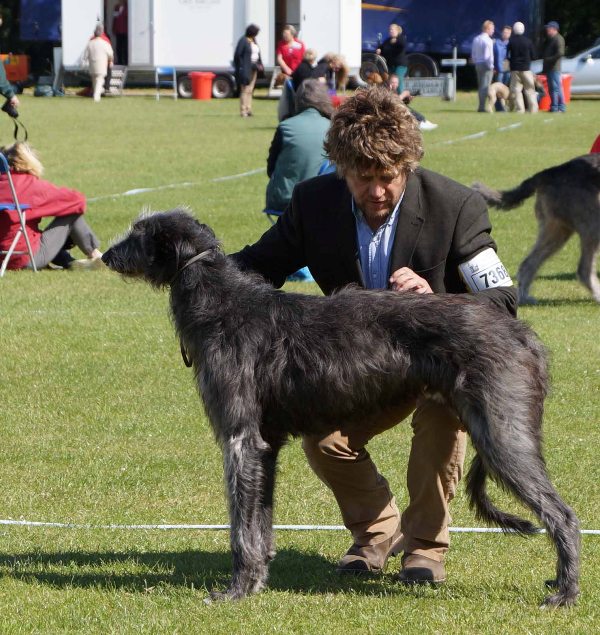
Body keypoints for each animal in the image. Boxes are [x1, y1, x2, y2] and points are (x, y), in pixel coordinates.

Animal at [103, 209, 580, 608]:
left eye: (139, 233)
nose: (106, 255)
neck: (221, 303)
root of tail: (522, 334)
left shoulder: (239, 440)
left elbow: (241, 526)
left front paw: (236, 589)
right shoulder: (265, 447)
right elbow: (260, 521)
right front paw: (256, 581)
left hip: (501, 434)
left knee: (563, 515)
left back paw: (566, 592)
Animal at [474, 153, 600, 304]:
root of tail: (553, 171)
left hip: (557, 228)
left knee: (528, 263)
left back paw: (524, 297)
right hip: (591, 222)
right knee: (584, 268)